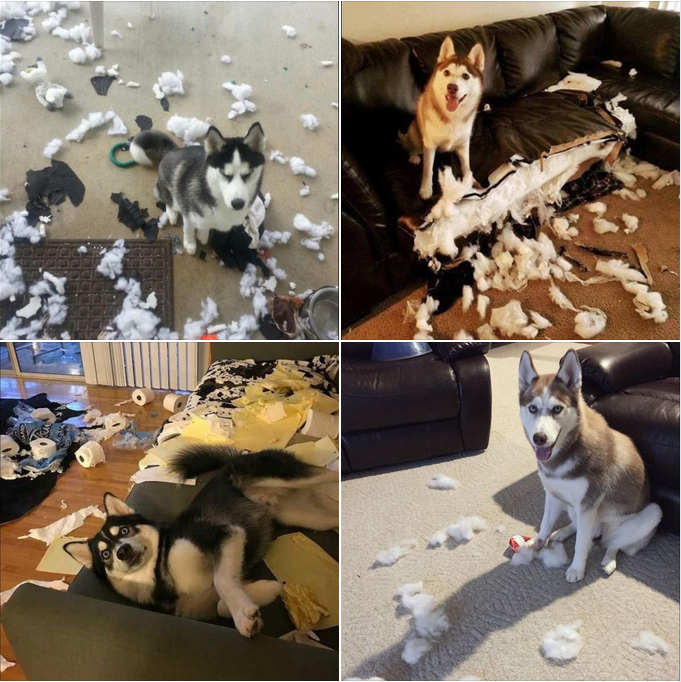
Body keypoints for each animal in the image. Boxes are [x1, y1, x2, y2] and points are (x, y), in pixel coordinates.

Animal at [398, 35, 484, 198]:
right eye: (446, 73)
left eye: (465, 76)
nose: (452, 87)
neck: (453, 117)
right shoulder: (430, 145)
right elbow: (428, 170)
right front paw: (426, 189)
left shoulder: (464, 144)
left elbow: (466, 166)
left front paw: (471, 180)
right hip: (415, 132)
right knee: (412, 146)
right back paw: (414, 156)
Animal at [516, 350, 660, 580]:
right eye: (532, 408)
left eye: (557, 409)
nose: (539, 438)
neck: (568, 449)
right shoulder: (553, 493)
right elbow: (545, 524)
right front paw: (535, 545)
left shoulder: (588, 504)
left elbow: (581, 544)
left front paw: (576, 569)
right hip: (572, 507)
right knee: (583, 529)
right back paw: (563, 532)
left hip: (652, 514)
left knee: (612, 543)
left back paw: (609, 561)